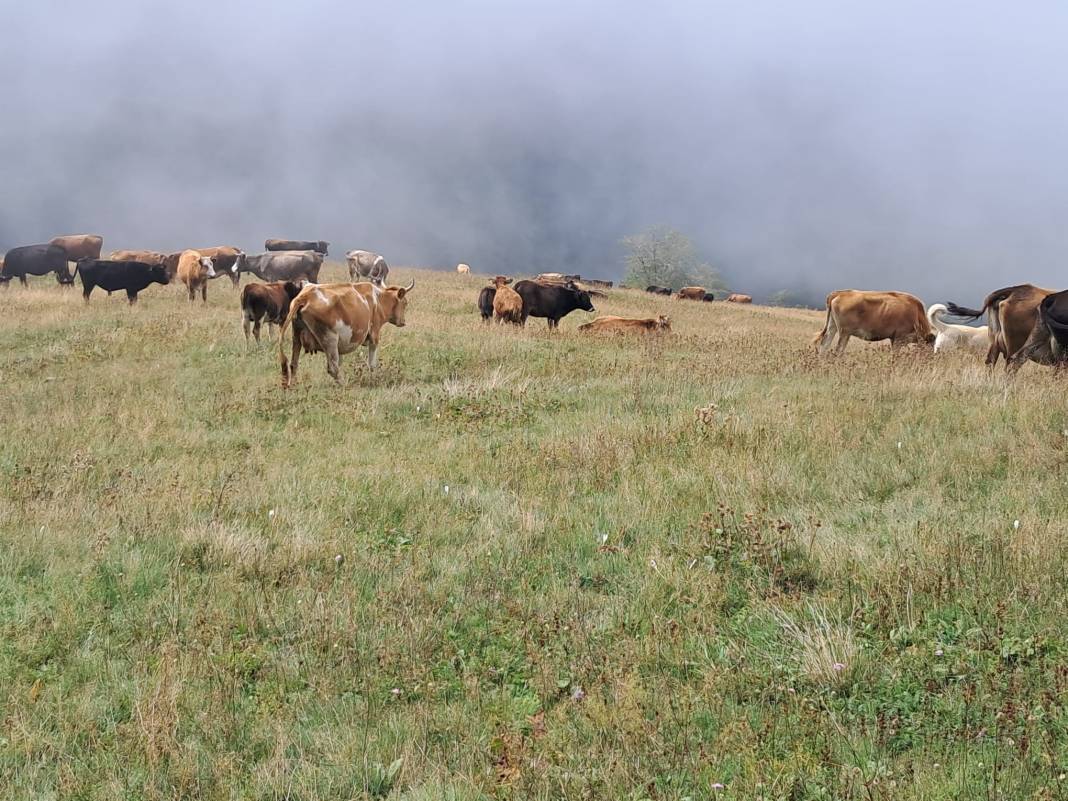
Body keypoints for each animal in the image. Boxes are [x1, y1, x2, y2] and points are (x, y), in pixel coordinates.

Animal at [277, 279, 414, 388]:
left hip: (297, 338)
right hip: (329, 339)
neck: (379, 299)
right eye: (405, 303)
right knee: (332, 369)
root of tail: (305, 296)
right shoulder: (374, 336)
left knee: (293, 364)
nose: (403, 322)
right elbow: (372, 364)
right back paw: (345, 385)